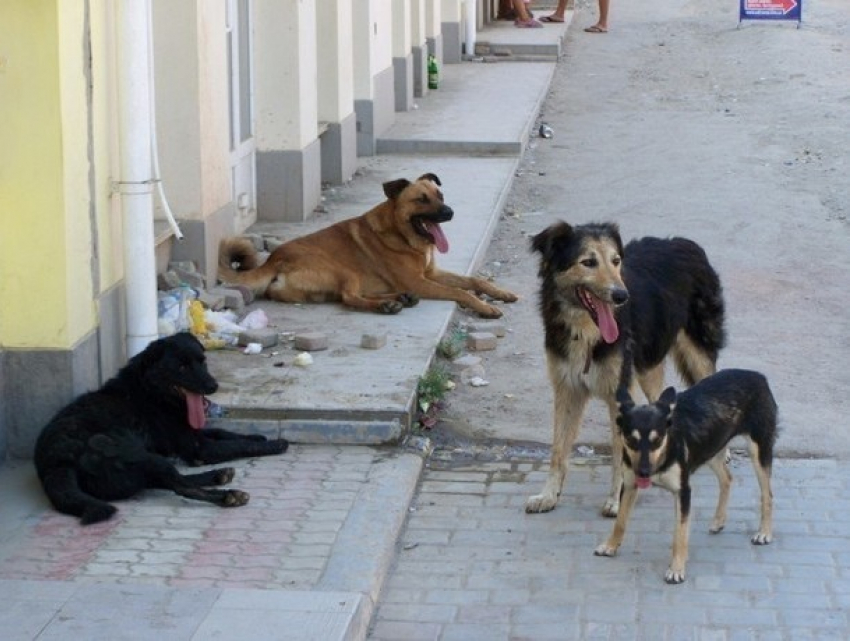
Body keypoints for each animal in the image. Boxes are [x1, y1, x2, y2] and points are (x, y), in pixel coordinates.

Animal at [34, 332, 288, 524]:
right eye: (182, 367)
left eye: (202, 361)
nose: (213, 386)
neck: (151, 391)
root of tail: (57, 462)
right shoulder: (199, 447)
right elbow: (236, 445)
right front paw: (275, 444)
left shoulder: (190, 435)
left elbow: (224, 433)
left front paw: (256, 436)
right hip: (138, 454)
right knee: (180, 486)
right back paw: (228, 495)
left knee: (169, 480)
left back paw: (218, 475)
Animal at [524, 220, 724, 516]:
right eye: (588, 262)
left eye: (616, 261)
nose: (621, 296)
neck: (586, 330)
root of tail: (685, 243)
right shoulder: (567, 389)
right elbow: (558, 450)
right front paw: (548, 495)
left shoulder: (620, 392)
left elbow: (620, 453)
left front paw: (617, 499)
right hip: (647, 366)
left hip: (697, 352)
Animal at [592, 344, 780, 584]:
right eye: (631, 440)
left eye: (657, 440)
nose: (643, 471)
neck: (662, 456)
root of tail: (757, 376)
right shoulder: (631, 484)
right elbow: (621, 521)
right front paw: (610, 546)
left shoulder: (683, 492)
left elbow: (679, 535)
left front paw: (676, 569)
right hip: (710, 448)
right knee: (727, 478)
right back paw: (719, 520)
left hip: (758, 450)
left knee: (767, 494)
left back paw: (764, 532)